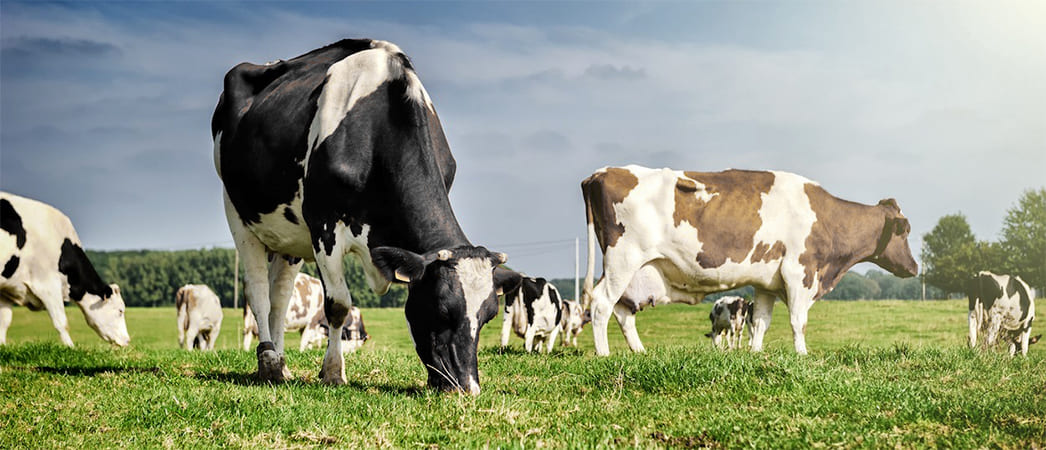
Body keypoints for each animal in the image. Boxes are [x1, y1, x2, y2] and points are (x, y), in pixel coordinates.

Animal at [0, 192, 129, 347]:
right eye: (120, 311)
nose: (128, 340)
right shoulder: (47, 285)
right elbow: (61, 322)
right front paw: (70, 347)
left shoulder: (7, 289)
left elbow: (4, 322)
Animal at [213, 39, 521, 393]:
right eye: (442, 309)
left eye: (489, 315)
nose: (467, 388)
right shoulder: (324, 226)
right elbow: (338, 304)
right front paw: (333, 372)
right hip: (237, 212)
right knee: (258, 292)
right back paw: (268, 363)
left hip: (288, 235)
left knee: (280, 297)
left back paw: (282, 363)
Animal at [581, 165, 918, 356]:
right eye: (905, 230)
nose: (915, 267)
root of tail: (602, 172)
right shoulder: (800, 272)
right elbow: (798, 321)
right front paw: (802, 355)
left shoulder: (767, 282)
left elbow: (761, 323)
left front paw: (755, 354)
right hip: (622, 259)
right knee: (601, 304)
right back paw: (604, 355)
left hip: (633, 270)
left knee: (622, 311)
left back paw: (640, 352)